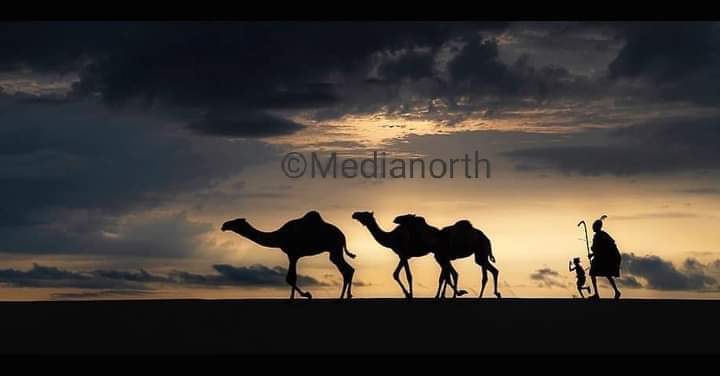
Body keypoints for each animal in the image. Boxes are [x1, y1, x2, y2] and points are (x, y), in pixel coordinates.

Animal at [219, 212, 354, 300]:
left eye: (236, 222)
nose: (224, 225)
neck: (280, 236)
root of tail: (343, 236)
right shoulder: (293, 255)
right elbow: (291, 277)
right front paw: (297, 296)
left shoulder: (293, 254)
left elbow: (290, 278)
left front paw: (305, 295)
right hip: (335, 250)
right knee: (348, 269)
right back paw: (345, 296)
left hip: (335, 248)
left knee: (346, 269)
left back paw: (343, 296)